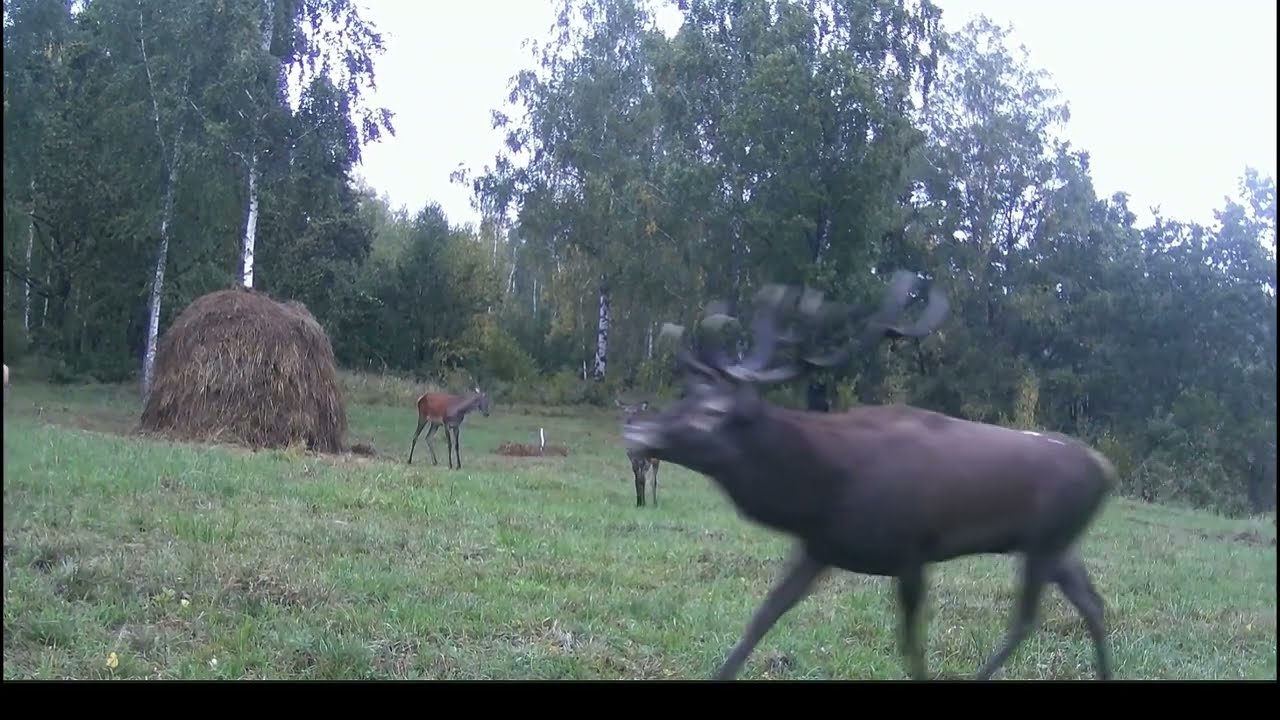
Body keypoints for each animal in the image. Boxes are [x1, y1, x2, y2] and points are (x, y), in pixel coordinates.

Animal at [621, 271, 1118, 681]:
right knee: (1093, 606)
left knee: (1028, 618)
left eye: (711, 412)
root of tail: (1106, 471)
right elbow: (762, 618)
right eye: (686, 397)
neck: (821, 489)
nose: (635, 432)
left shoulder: (912, 551)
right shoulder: (819, 547)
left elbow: (910, 643)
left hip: (1046, 540)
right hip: (1058, 545)